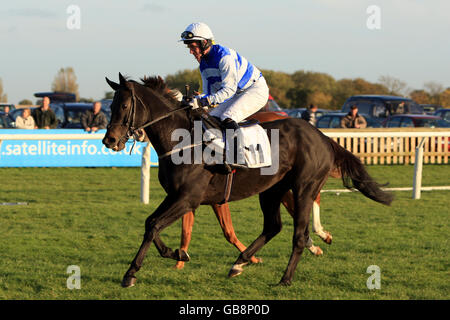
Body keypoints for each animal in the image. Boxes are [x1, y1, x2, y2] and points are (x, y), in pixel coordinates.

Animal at [103, 74, 394, 286]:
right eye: (111, 105)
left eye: (125, 105)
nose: (109, 140)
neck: (182, 140)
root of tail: (322, 136)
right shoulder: (176, 196)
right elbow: (151, 223)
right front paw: (174, 253)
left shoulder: (188, 198)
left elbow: (155, 225)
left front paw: (131, 274)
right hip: (272, 190)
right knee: (273, 226)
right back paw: (239, 262)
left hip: (303, 187)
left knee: (298, 234)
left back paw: (285, 278)